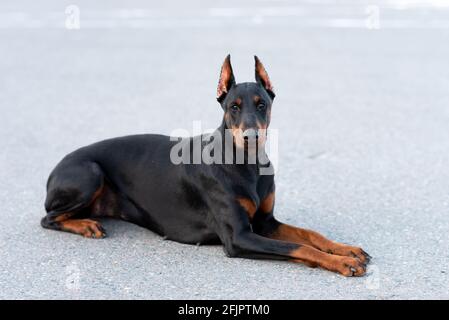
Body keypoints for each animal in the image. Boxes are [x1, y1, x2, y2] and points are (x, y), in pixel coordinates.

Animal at [41, 55, 372, 276]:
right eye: (233, 107)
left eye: (262, 104)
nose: (251, 137)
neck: (247, 166)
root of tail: (55, 169)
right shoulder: (239, 237)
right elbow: (300, 247)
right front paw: (343, 262)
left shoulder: (265, 222)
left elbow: (311, 236)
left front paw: (346, 249)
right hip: (89, 173)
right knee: (48, 218)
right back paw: (85, 225)